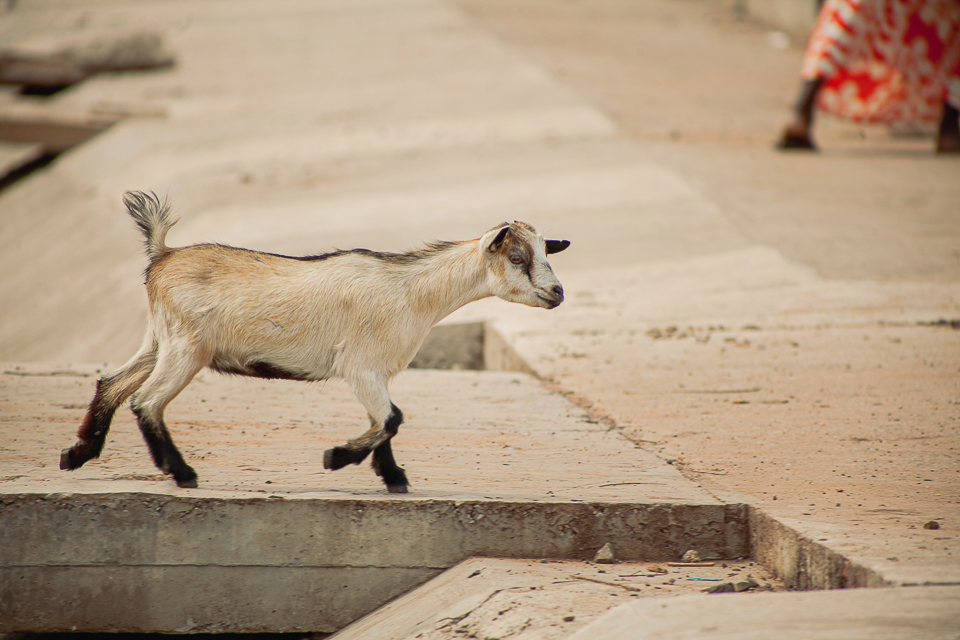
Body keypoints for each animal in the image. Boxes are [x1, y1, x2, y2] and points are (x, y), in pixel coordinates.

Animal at [60, 191, 570, 493]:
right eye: (518, 257)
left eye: (546, 253)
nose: (557, 292)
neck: (412, 293)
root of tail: (162, 255)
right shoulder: (361, 367)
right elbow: (392, 418)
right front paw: (337, 458)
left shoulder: (375, 373)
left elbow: (384, 421)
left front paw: (392, 478)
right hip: (187, 348)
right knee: (146, 401)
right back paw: (181, 473)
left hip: (159, 340)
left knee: (112, 383)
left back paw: (78, 454)